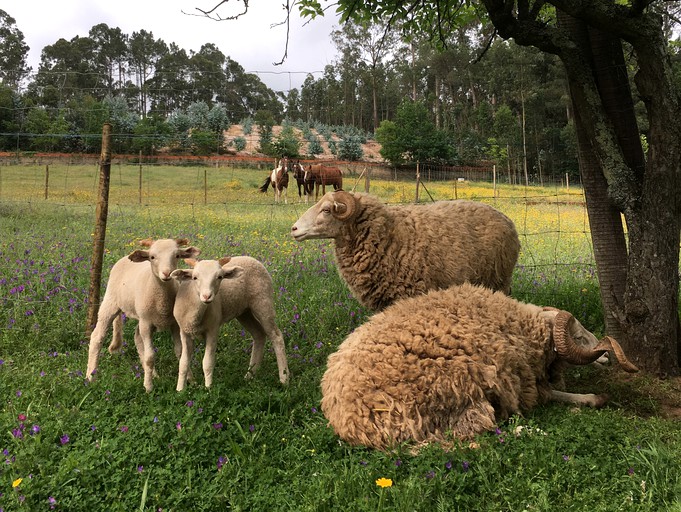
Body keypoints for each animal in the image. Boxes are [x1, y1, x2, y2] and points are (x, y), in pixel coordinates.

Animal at [84, 237, 199, 392]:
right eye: (152, 257)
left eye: (177, 255)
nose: (167, 273)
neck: (162, 299)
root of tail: (125, 258)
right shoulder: (146, 323)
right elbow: (150, 357)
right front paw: (148, 387)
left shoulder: (174, 324)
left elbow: (180, 353)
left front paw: (190, 380)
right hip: (111, 302)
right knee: (97, 337)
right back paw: (90, 376)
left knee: (137, 338)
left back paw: (152, 374)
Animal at [170, 254, 290, 390]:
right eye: (195, 277)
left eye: (220, 277)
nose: (207, 296)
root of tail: (251, 258)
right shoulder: (184, 331)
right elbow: (183, 363)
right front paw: (180, 390)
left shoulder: (213, 329)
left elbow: (207, 362)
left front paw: (208, 389)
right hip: (244, 312)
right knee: (259, 335)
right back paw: (250, 375)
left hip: (263, 301)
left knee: (276, 336)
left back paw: (284, 378)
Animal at [320, 282, 636, 450]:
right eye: (579, 336)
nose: (607, 357)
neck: (521, 329)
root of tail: (348, 420)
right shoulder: (520, 384)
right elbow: (548, 394)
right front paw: (592, 398)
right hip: (460, 394)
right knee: (473, 434)